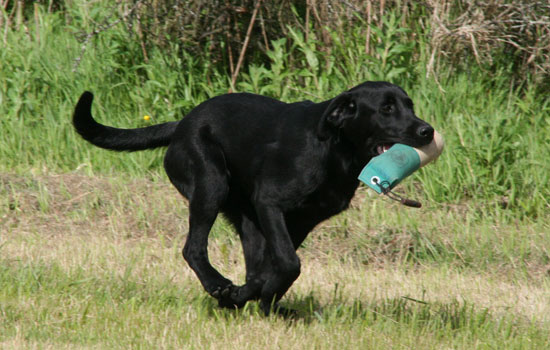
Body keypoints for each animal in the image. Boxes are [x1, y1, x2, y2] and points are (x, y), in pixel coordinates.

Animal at [72, 81, 436, 314]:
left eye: (410, 106)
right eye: (386, 108)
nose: (427, 131)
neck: (335, 148)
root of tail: (181, 125)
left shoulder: (301, 220)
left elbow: (271, 269)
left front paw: (258, 300)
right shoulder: (270, 203)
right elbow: (289, 263)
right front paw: (252, 297)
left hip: (246, 219)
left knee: (249, 264)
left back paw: (235, 297)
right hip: (211, 183)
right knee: (193, 248)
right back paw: (218, 285)